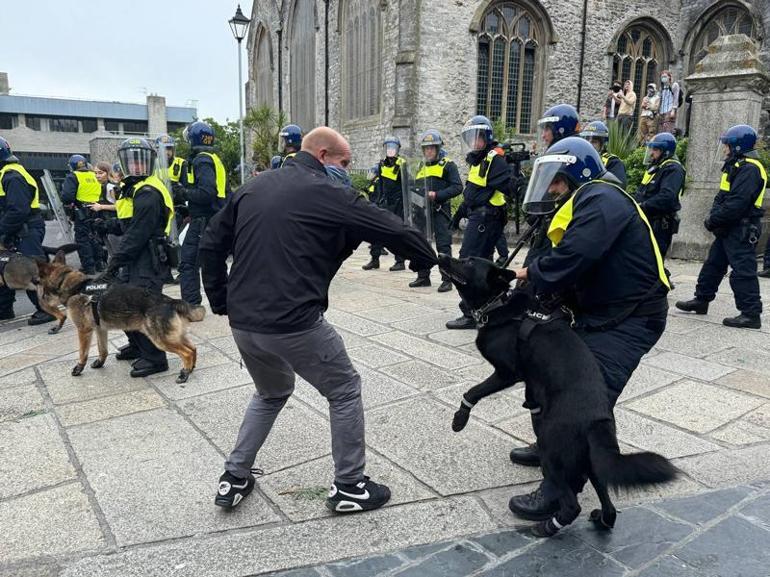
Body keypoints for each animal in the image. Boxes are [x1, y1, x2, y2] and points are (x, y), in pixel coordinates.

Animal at [35, 251, 204, 382]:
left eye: (38, 282)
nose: (40, 301)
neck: (74, 287)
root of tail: (169, 300)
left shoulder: (83, 331)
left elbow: (83, 352)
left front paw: (78, 368)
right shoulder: (100, 329)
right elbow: (103, 350)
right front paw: (99, 363)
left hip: (160, 339)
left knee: (187, 352)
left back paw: (184, 374)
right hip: (172, 336)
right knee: (193, 348)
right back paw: (190, 368)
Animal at [436, 254, 676, 536]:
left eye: (469, 262)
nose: (442, 256)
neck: (499, 303)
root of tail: (596, 420)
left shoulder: (507, 373)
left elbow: (472, 391)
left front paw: (459, 420)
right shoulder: (528, 382)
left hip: (552, 451)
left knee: (572, 505)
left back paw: (547, 527)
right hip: (591, 462)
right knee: (607, 503)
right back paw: (601, 520)